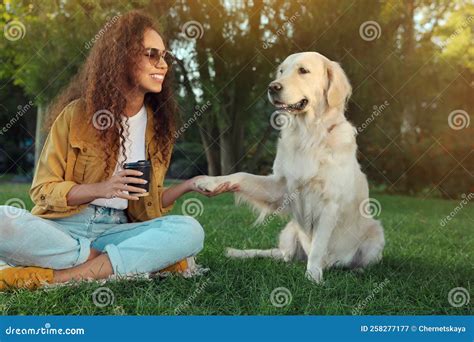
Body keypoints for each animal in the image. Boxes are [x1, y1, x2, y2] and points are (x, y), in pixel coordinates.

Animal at [195, 51, 386, 284]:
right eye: (281, 71)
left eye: (303, 70)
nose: (272, 87)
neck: (307, 136)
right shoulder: (281, 186)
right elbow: (241, 175)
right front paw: (210, 182)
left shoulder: (329, 203)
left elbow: (318, 246)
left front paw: (313, 276)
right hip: (289, 231)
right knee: (280, 255)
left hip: (376, 233)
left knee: (362, 261)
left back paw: (356, 270)